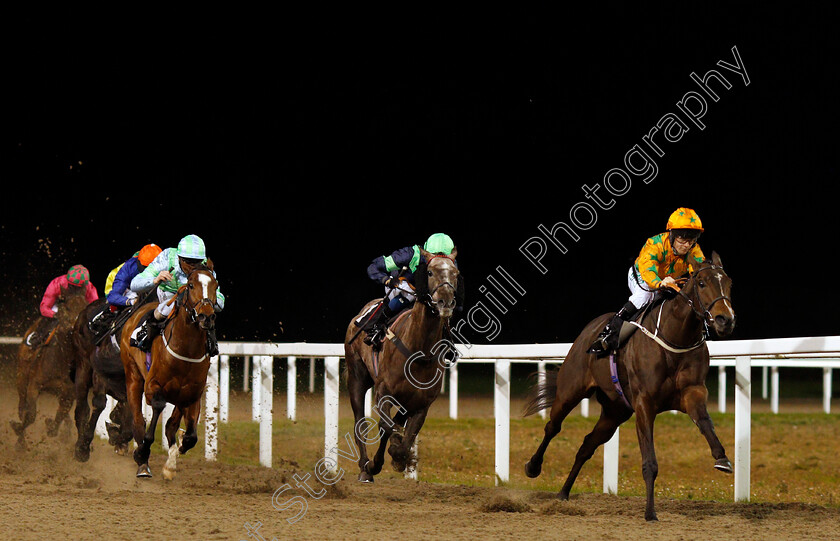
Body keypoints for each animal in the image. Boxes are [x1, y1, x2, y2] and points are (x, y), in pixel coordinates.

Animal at [11, 282, 91, 448]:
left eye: (86, 306)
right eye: (66, 305)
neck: (63, 359)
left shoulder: (68, 393)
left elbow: (59, 417)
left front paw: (52, 427)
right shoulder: (34, 385)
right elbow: (30, 415)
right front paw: (19, 435)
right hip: (21, 375)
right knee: (22, 405)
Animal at [122, 262, 221, 476]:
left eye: (215, 285)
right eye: (191, 285)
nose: (206, 317)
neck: (186, 349)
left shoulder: (192, 394)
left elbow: (190, 435)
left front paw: (178, 451)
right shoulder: (153, 387)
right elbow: (157, 411)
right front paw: (142, 452)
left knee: (171, 425)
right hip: (133, 376)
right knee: (137, 419)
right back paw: (143, 464)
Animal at [346, 249, 462, 480]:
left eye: (455, 273)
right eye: (429, 272)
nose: (445, 302)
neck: (419, 353)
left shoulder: (421, 404)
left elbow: (406, 436)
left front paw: (398, 456)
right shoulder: (383, 392)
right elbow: (385, 426)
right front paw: (375, 464)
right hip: (356, 377)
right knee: (359, 424)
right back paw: (364, 466)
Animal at [524, 252, 736, 520]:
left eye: (729, 283)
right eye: (701, 283)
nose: (725, 320)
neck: (675, 338)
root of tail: (590, 329)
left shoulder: (693, 392)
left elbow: (706, 423)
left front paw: (722, 459)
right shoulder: (645, 403)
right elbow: (649, 462)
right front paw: (650, 512)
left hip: (615, 411)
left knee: (586, 445)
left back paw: (563, 494)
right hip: (570, 390)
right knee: (553, 427)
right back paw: (533, 466)